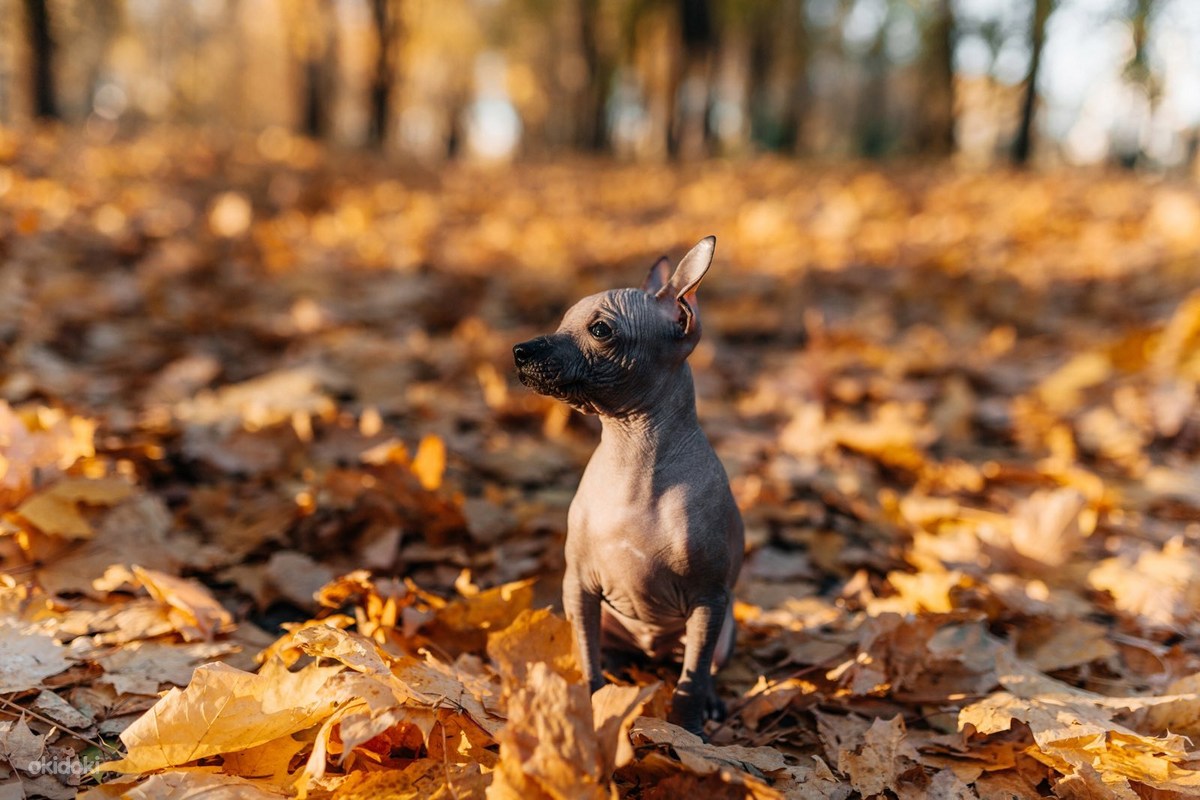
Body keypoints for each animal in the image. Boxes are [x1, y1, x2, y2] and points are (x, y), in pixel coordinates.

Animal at [513, 235, 744, 734]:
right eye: (562, 322)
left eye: (600, 330)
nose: (519, 351)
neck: (632, 460)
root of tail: (652, 651)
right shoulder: (578, 587)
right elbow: (587, 658)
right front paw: (593, 706)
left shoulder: (709, 600)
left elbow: (692, 678)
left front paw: (687, 729)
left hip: (723, 626)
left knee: (700, 666)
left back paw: (711, 702)